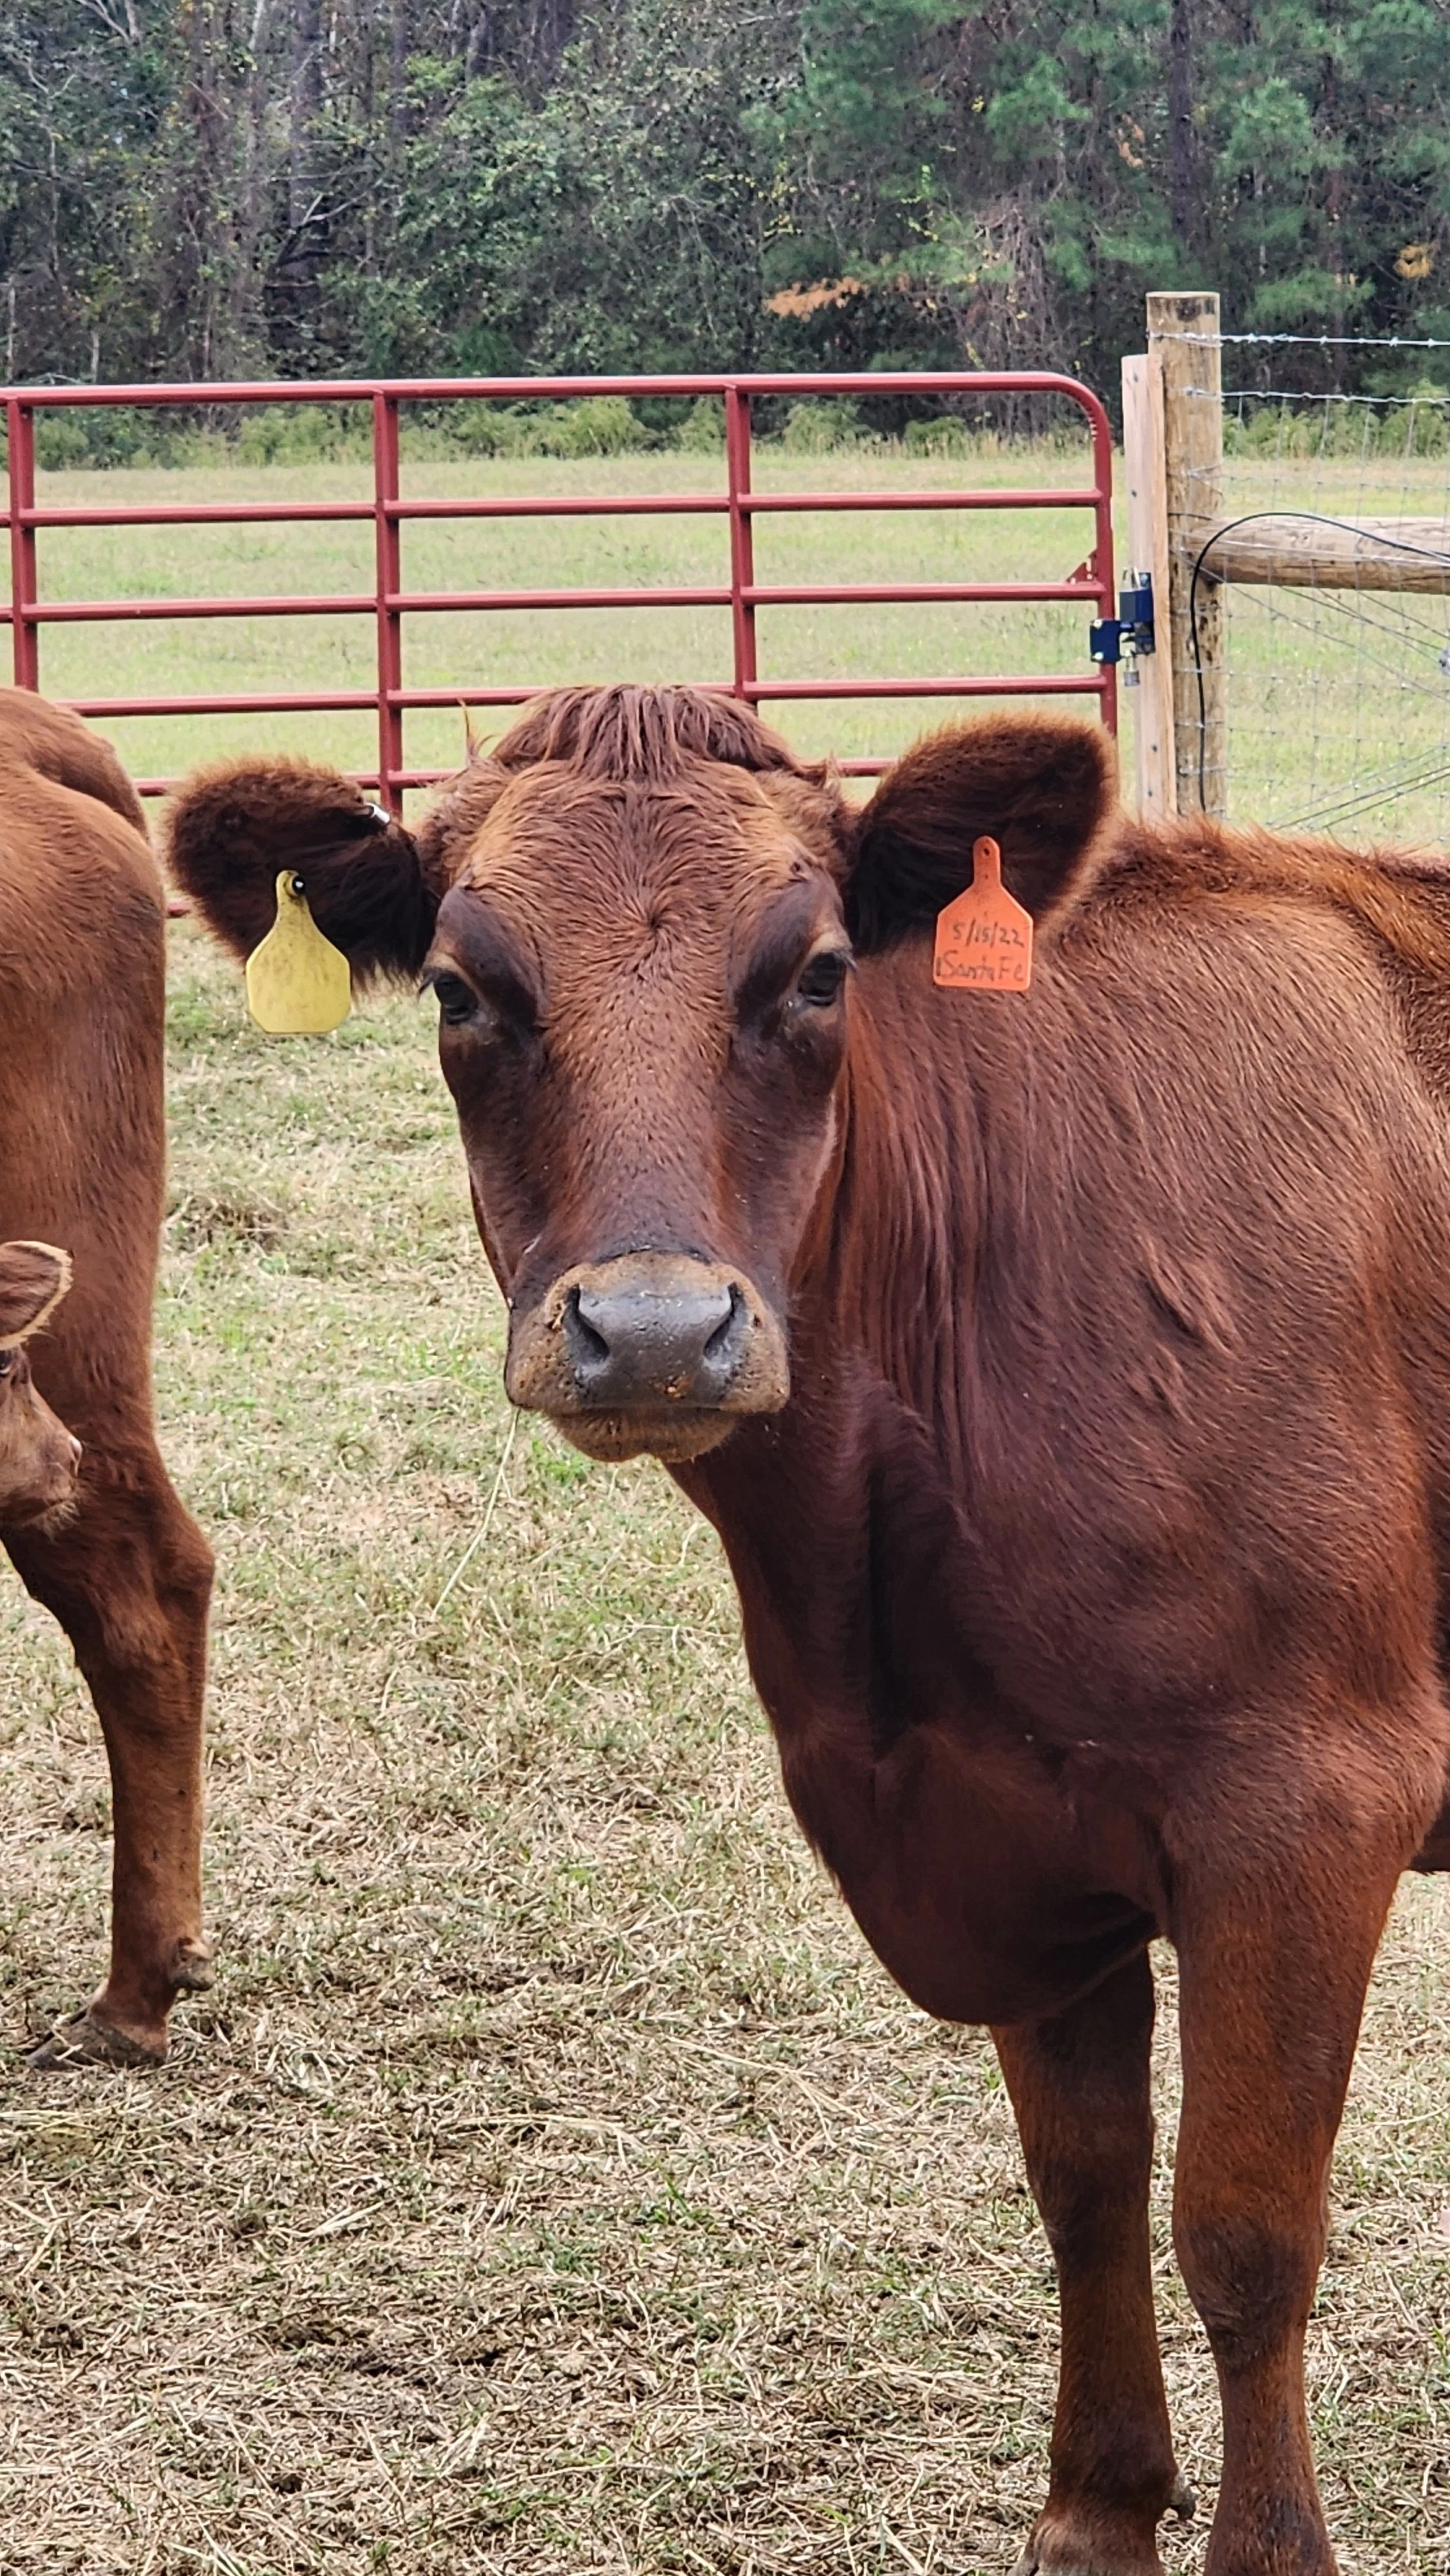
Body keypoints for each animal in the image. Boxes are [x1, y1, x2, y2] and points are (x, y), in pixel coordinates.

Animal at [166, 683, 1450, 2576]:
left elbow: (1242, 2231)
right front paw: (1094, 2508)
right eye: (463, 990)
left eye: (821, 971)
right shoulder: (1000, 1822)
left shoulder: (1308, 1799)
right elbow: (1082, 2187)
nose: (651, 1331)